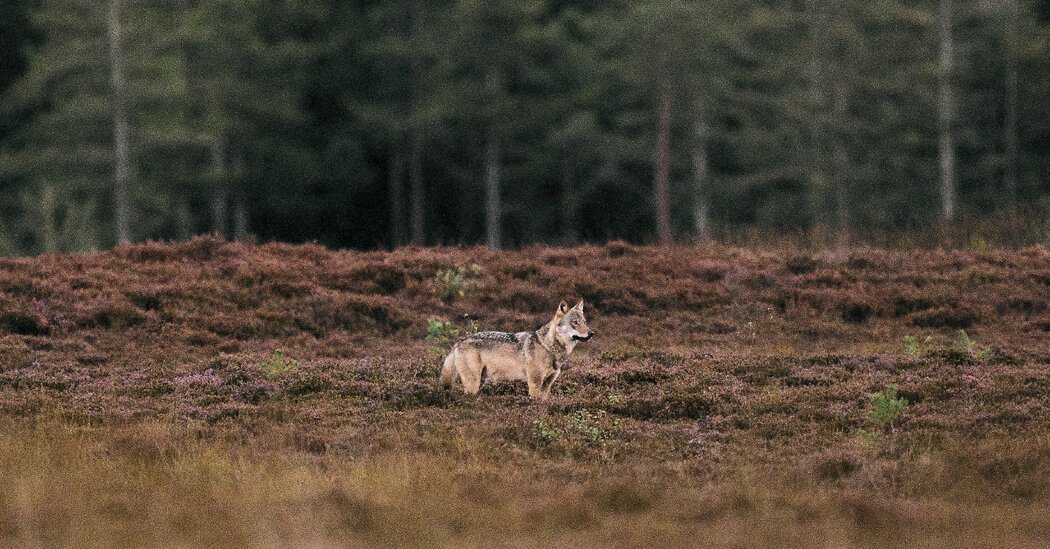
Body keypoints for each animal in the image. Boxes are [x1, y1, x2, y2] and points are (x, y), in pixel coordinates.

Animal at [439, 300, 594, 400]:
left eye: (585, 322)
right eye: (575, 323)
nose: (591, 333)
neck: (548, 347)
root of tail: (459, 342)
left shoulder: (547, 385)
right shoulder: (534, 383)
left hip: (479, 382)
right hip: (473, 384)